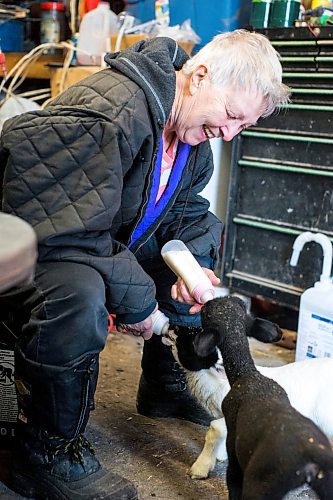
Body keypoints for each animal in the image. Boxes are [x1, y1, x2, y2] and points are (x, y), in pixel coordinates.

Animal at [191, 296, 332, 500]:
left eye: (206, 312)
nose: (206, 301)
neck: (247, 373)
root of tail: (311, 460)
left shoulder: (234, 440)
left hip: (262, 480)